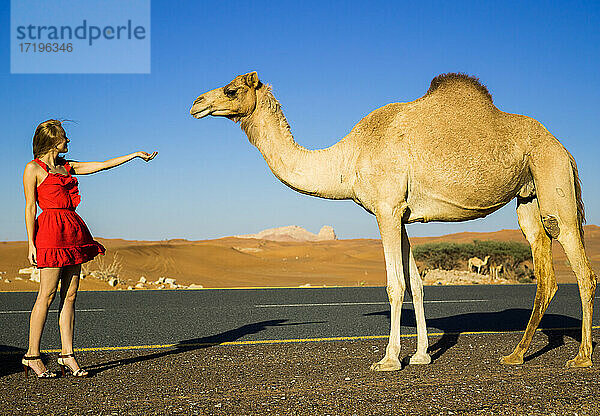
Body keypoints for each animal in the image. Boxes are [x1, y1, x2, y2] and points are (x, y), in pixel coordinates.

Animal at [191, 71, 596, 370]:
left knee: (582, 268)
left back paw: (581, 358)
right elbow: (416, 283)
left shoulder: (385, 209)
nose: (196, 103)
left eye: (230, 89)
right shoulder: (400, 213)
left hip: (553, 179)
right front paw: (420, 356)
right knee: (545, 269)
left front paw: (388, 360)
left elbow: (394, 285)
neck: (347, 159)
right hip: (528, 196)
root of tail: (565, 148)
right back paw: (515, 354)